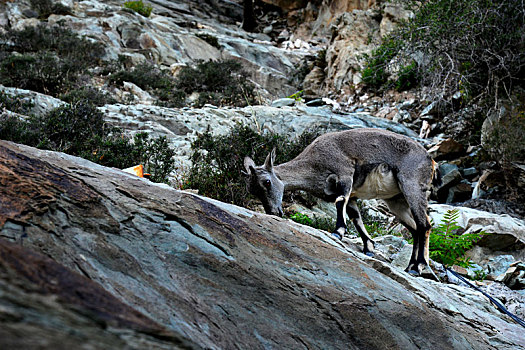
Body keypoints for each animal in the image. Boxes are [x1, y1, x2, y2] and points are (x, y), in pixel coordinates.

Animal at [244, 127, 436, 274]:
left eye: (267, 182)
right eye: (252, 190)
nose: (273, 212)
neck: (314, 164)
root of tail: (430, 160)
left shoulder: (344, 175)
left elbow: (339, 202)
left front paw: (338, 232)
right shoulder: (353, 196)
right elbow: (355, 217)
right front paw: (369, 247)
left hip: (412, 187)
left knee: (424, 225)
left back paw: (418, 266)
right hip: (396, 201)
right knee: (415, 229)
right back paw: (410, 266)